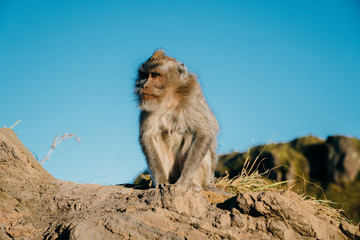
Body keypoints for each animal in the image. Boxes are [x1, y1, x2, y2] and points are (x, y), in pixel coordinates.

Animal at [135, 49, 219, 190]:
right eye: (145, 75)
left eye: (155, 75)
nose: (144, 86)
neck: (169, 97)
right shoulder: (148, 106)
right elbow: (147, 136)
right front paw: (161, 181)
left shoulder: (191, 97)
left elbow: (204, 133)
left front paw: (184, 182)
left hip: (206, 176)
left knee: (191, 134)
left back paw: (194, 184)